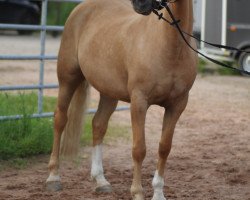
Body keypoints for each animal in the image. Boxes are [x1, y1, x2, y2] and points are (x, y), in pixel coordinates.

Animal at [45, 0, 197, 199]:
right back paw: (53, 177)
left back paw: (100, 181)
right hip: (68, 78)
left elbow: (164, 148)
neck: (170, 46)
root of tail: (82, 8)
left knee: (98, 125)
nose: (139, 4)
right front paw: (137, 192)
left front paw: (158, 193)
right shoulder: (139, 102)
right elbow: (139, 149)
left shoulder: (177, 105)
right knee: (60, 120)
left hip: (108, 93)